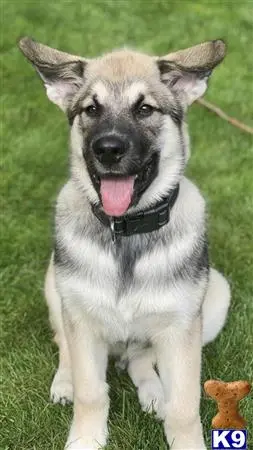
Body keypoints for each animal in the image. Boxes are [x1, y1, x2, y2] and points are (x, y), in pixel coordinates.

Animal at [18, 37, 230, 448]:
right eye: (92, 109)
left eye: (144, 108)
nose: (108, 149)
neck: (126, 232)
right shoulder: (82, 321)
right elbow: (91, 392)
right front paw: (85, 438)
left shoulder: (182, 331)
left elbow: (185, 407)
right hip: (55, 287)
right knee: (64, 344)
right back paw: (65, 382)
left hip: (215, 299)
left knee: (141, 360)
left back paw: (154, 392)